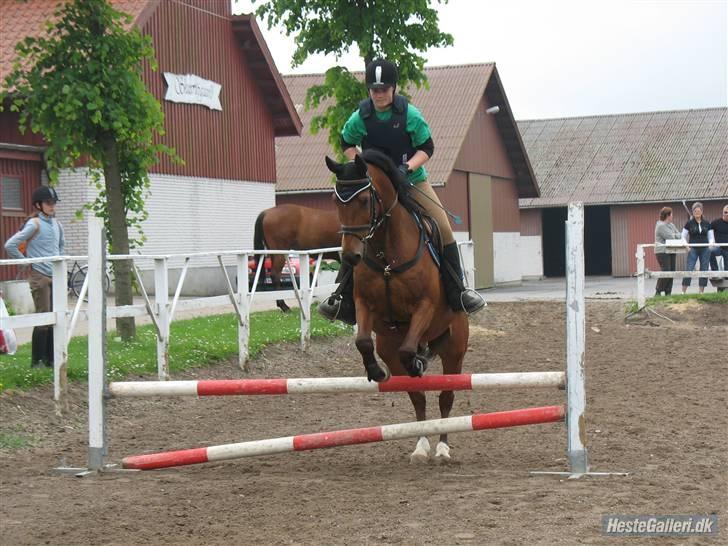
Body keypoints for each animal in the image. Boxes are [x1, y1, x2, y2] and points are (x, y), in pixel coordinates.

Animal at [326, 150, 472, 464]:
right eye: (335, 201)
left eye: (364, 200)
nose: (351, 256)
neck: (386, 253)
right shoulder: (364, 305)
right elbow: (362, 341)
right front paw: (376, 372)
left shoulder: (425, 306)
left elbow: (408, 349)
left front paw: (416, 361)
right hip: (388, 348)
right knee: (417, 396)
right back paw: (421, 446)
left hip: (454, 350)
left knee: (446, 396)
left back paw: (442, 447)